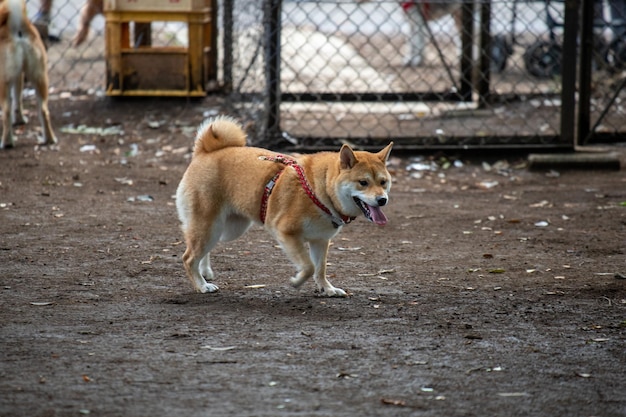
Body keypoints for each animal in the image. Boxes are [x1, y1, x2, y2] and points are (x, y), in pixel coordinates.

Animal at [0, 0, 56, 150]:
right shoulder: (19, 75)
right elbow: (17, 99)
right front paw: (19, 120)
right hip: (40, 77)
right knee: (44, 110)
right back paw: (49, 139)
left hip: (3, 81)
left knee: (6, 111)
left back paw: (6, 142)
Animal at [176, 115, 390, 294]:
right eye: (363, 182)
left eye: (383, 182)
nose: (382, 200)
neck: (319, 190)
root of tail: (204, 152)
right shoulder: (286, 233)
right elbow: (308, 267)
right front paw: (296, 281)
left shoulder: (320, 240)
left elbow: (320, 269)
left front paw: (327, 289)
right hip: (210, 226)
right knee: (188, 258)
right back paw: (201, 285)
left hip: (228, 229)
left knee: (202, 250)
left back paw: (205, 272)